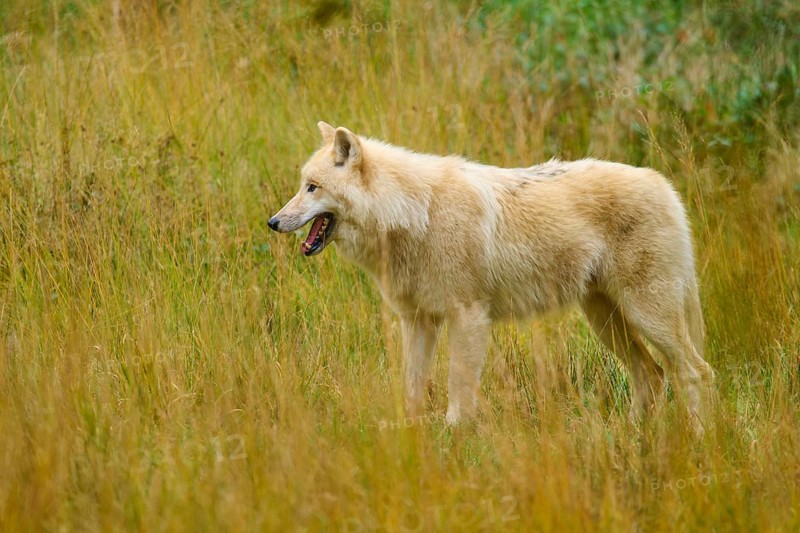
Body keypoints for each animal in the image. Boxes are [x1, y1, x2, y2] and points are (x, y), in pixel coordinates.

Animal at [268, 121, 714, 430]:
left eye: (312, 187)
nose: (272, 222)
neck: (415, 213)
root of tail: (664, 185)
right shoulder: (418, 321)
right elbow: (412, 386)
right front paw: (410, 433)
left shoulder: (468, 317)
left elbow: (457, 387)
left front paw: (453, 434)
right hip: (605, 320)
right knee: (652, 376)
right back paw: (629, 435)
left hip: (647, 315)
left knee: (696, 372)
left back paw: (698, 440)